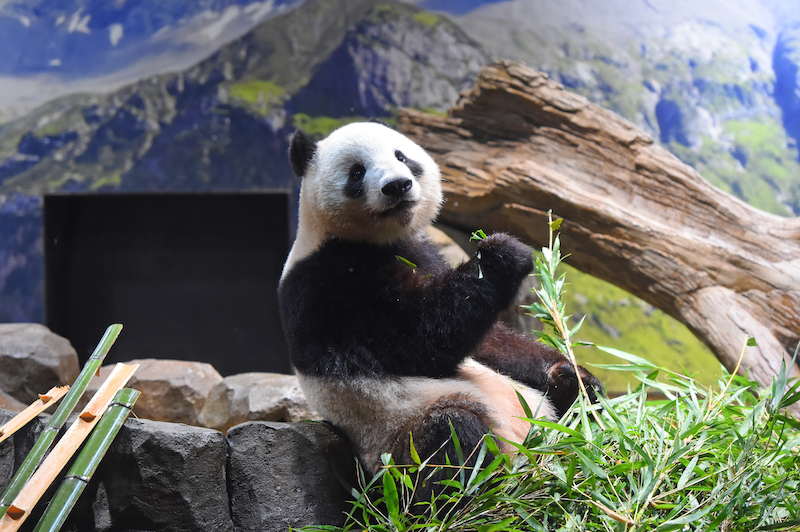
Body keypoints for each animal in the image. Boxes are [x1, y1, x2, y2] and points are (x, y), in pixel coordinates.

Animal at [278, 120, 596, 482]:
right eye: (357, 172)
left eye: (401, 156)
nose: (397, 185)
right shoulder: (327, 287)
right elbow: (419, 341)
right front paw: (503, 254)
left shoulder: (421, 252)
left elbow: (491, 344)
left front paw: (571, 373)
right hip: (403, 436)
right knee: (454, 438)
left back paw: (572, 393)